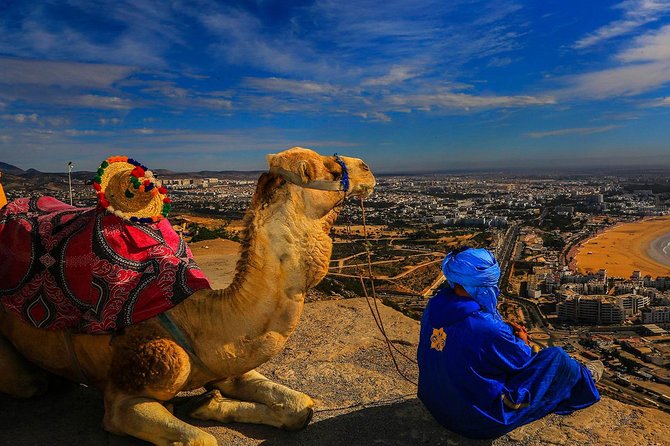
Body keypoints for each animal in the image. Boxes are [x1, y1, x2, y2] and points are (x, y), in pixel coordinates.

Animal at [0, 147, 375, 445]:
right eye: (330, 168)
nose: (367, 167)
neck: (200, 319)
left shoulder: (229, 361)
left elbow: (302, 407)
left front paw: (206, 404)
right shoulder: (128, 395)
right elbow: (200, 439)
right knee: (28, 383)